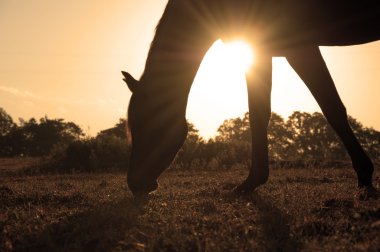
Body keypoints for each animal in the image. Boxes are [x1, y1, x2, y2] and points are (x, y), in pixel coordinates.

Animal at [123, 0, 378, 197]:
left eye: (147, 125)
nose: (135, 184)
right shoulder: (262, 48)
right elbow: (259, 113)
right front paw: (253, 181)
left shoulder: (298, 47)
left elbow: (330, 108)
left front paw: (365, 175)